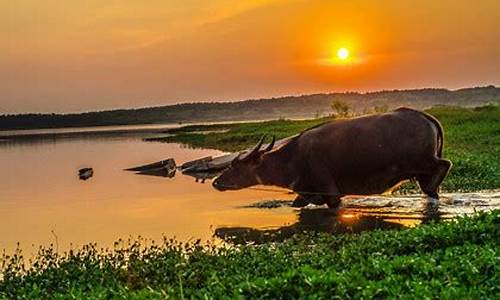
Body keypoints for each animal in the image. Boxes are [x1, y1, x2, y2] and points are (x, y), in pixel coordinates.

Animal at [211, 108, 454, 209]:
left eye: (235, 166)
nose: (216, 182)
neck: (293, 159)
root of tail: (425, 117)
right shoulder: (307, 192)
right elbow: (298, 203)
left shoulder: (331, 193)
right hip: (420, 168)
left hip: (421, 161)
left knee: (444, 165)